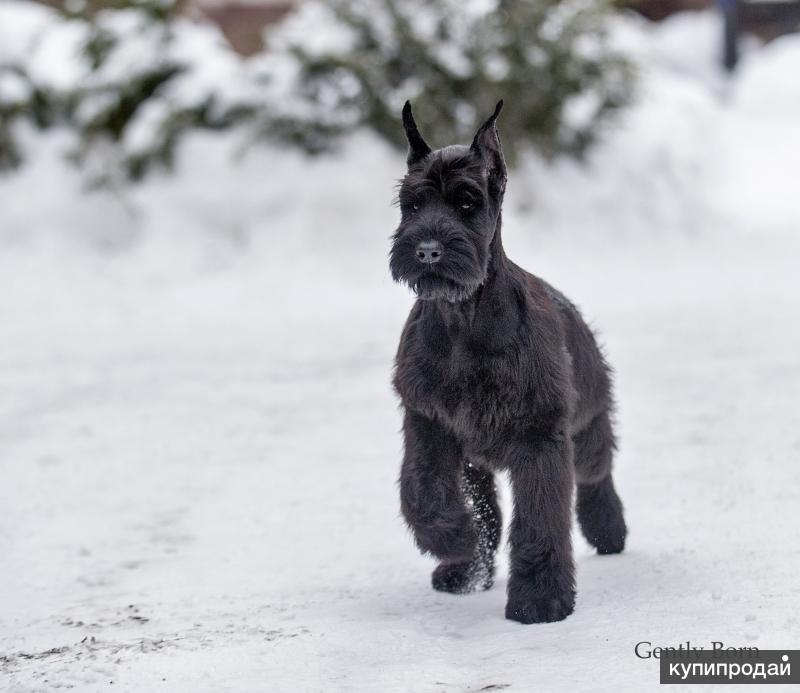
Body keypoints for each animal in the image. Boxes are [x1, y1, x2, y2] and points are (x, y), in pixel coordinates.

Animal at [390, 100, 628, 624]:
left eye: (467, 202)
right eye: (411, 204)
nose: (427, 250)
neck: (462, 319)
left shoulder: (539, 437)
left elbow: (539, 521)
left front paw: (540, 599)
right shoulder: (428, 422)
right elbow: (423, 492)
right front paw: (455, 541)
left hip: (586, 427)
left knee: (597, 474)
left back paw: (609, 530)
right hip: (475, 459)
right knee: (486, 506)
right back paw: (465, 569)